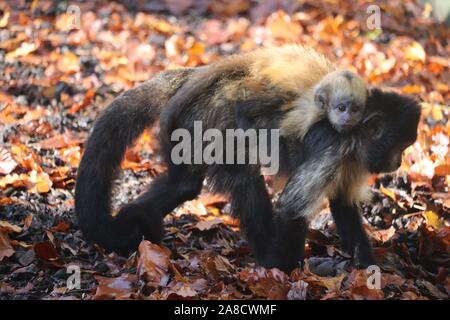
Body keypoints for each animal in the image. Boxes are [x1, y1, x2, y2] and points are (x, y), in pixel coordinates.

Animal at [74, 43, 418, 272]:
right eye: (399, 147)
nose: (398, 162)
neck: (352, 139)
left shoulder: (354, 159)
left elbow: (343, 206)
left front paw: (371, 268)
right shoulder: (333, 145)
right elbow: (292, 208)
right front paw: (287, 269)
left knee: (184, 183)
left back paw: (141, 216)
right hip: (211, 117)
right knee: (241, 175)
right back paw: (267, 259)